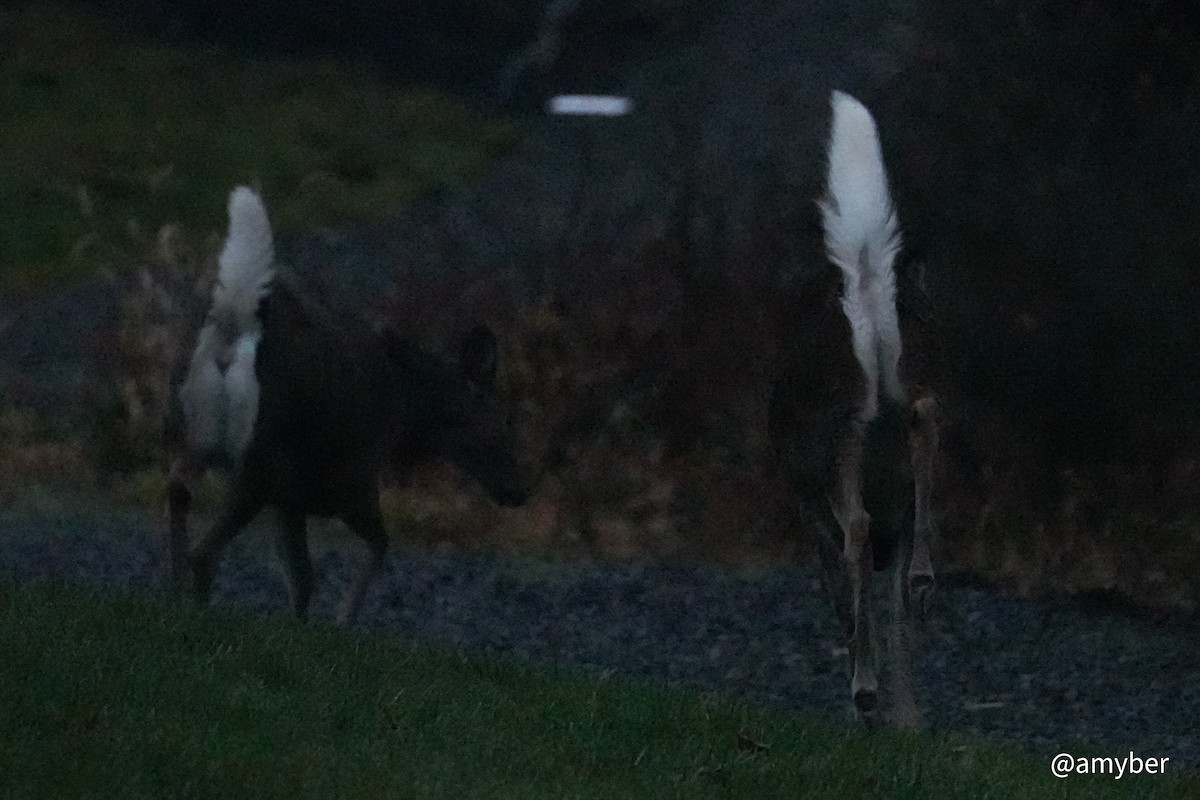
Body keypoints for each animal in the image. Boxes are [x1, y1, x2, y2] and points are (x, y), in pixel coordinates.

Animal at [164, 186, 530, 624]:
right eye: (501, 421)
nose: (518, 490)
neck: (406, 404)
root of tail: (235, 322)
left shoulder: (292, 499)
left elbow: (303, 577)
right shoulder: (348, 482)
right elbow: (377, 543)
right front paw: (344, 620)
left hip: (195, 435)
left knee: (177, 491)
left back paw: (172, 593)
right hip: (259, 459)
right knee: (204, 551)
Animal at [770, 91, 942, 725]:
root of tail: (865, 284)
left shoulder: (810, 511)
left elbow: (848, 603)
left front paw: (868, 703)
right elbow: (898, 627)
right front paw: (909, 722)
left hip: (838, 429)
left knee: (857, 530)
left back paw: (863, 691)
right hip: (909, 383)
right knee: (924, 412)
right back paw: (923, 579)